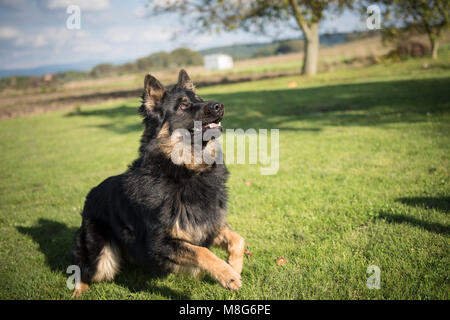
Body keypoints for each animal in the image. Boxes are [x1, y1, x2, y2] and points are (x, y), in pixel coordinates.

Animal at [71, 69, 244, 298]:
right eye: (183, 106)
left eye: (200, 99)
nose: (219, 105)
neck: (185, 172)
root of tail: (90, 194)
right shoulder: (160, 243)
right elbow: (202, 252)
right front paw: (228, 275)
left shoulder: (208, 226)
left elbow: (238, 240)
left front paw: (235, 266)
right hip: (102, 260)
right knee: (84, 269)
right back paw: (78, 292)